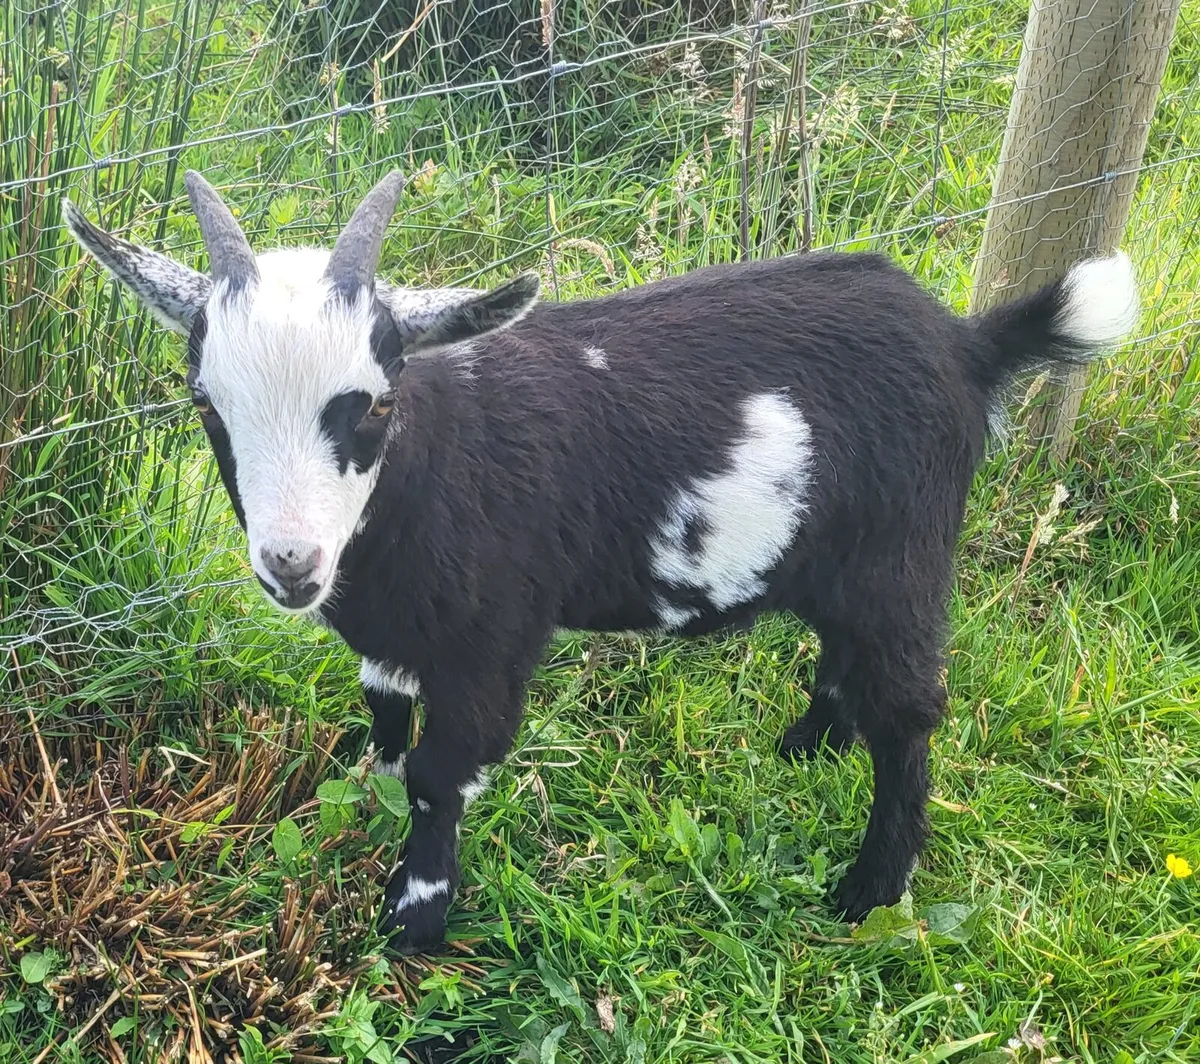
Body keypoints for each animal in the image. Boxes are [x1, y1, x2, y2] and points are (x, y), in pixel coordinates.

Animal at [65, 171, 1138, 955]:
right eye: (206, 404)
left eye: (375, 401)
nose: (291, 564)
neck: (434, 462)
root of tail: (966, 344)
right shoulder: (395, 633)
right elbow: (384, 720)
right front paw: (363, 807)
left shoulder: (491, 639)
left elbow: (441, 773)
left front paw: (414, 920)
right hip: (843, 561)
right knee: (848, 662)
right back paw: (807, 747)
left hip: (903, 553)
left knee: (910, 713)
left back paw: (869, 892)